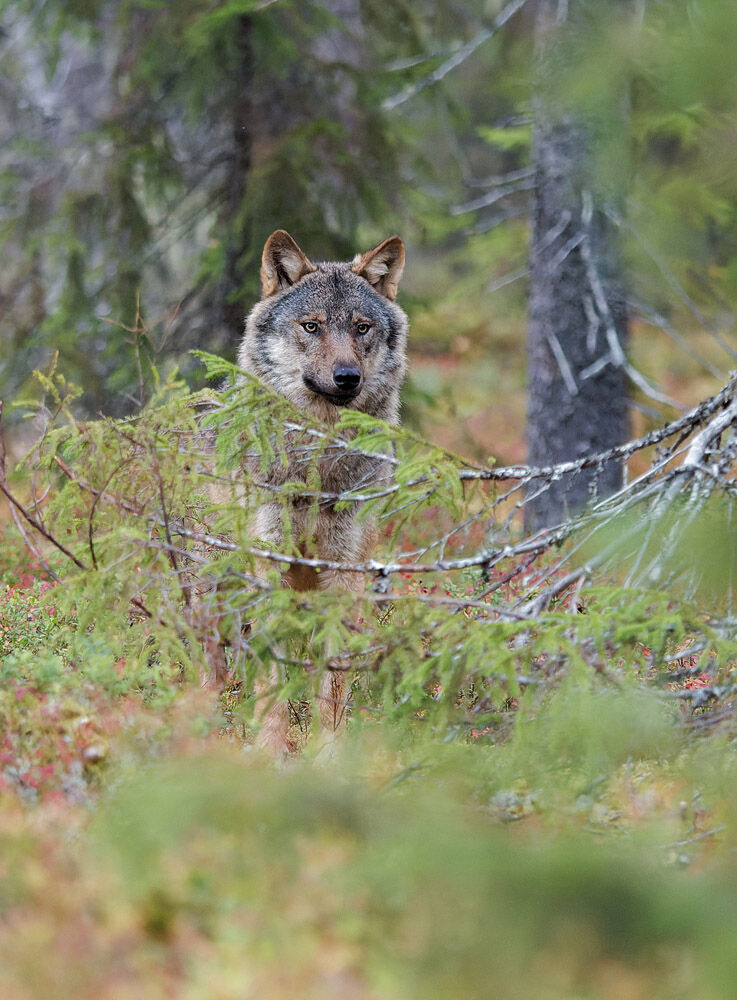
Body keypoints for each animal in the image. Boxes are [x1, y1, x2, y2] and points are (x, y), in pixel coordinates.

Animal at [225, 229, 409, 752]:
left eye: (362, 328)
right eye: (312, 327)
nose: (347, 378)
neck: (317, 468)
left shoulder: (344, 576)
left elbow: (333, 684)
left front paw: (330, 757)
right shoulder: (270, 570)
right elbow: (272, 681)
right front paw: (269, 752)